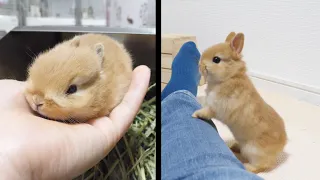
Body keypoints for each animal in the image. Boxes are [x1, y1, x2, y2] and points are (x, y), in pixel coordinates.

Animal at [192, 32, 288, 173]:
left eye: (216, 59)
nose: (200, 65)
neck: (229, 77)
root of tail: (282, 145)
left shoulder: (218, 107)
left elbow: (207, 111)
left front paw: (195, 114)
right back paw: (234, 147)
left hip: (253, 151)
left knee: (262, 166)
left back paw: (246, 166)